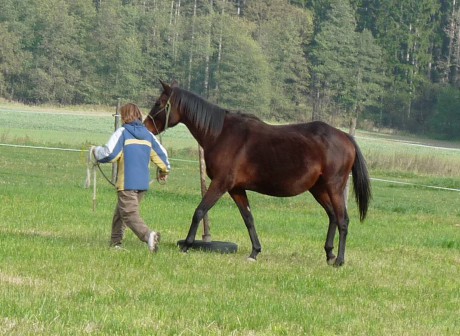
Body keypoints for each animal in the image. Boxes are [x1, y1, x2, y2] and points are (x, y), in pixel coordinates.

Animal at [146, 80, 372, 266]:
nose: (146, 125)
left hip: (334, 188)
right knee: (333, 216)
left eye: (158, 103)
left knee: (343, 220)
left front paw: (186, 245)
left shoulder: (220, 184)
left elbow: (199, 212)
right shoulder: (236, 189)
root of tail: (346, 137)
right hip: (319, 189)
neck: (222, 134)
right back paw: (329, 254)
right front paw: (255, 252)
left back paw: (339, 260)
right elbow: (248, 218)